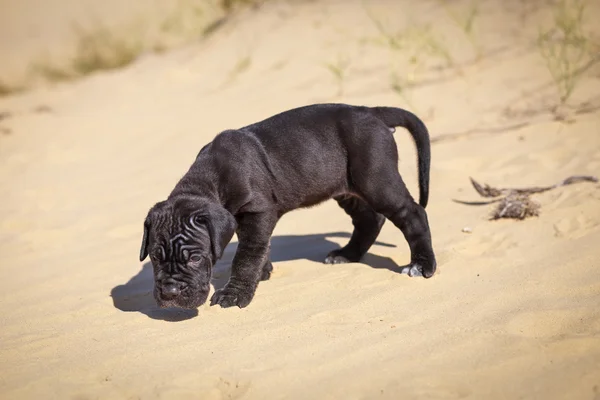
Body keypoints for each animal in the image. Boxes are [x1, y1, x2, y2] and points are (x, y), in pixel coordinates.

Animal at [141, 102, 436, 310]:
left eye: (195, 258)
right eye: (154, 256)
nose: (170, 293)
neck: (209, 180)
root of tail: (371, 112)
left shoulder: (258, 211)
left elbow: (247, 255)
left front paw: (235, 294)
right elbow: (259, 247)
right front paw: (263, 271)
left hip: (376, 178)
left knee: (412, 214)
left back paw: (421, 266)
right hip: (345, 187)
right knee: (369, 220)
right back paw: (347, 254)